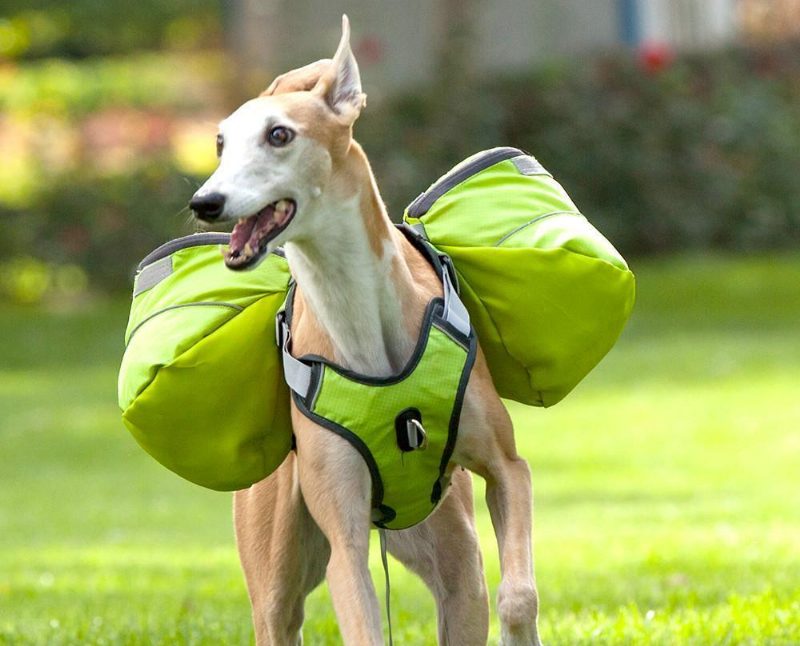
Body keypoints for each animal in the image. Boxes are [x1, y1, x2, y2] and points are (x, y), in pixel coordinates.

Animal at [190, 17, 540, 644]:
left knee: (471, 585)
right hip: (275, 573)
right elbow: (358, 609)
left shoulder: (507, 469)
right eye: (221, 143)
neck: (364, 323)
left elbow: (519, 593)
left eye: (279, 134)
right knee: (278, 611)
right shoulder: (345, 535)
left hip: (453, 551)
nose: (205, 201)